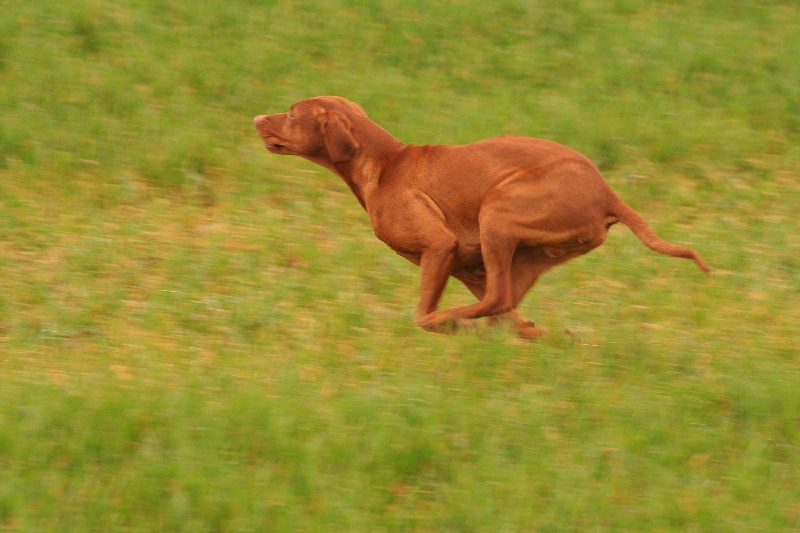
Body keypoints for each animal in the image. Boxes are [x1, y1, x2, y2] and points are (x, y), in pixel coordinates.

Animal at [253, 96, 708, 336]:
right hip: (519, 252)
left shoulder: (440, 246)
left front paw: (441, 322)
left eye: (291, 114)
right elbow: (507, 314)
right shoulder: (466, 266)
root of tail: (607, 193)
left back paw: (453, 323)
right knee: (508, 307)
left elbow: (428, 313)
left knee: (494, 302)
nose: (256, 118)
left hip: (498, 208)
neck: (383, 164)